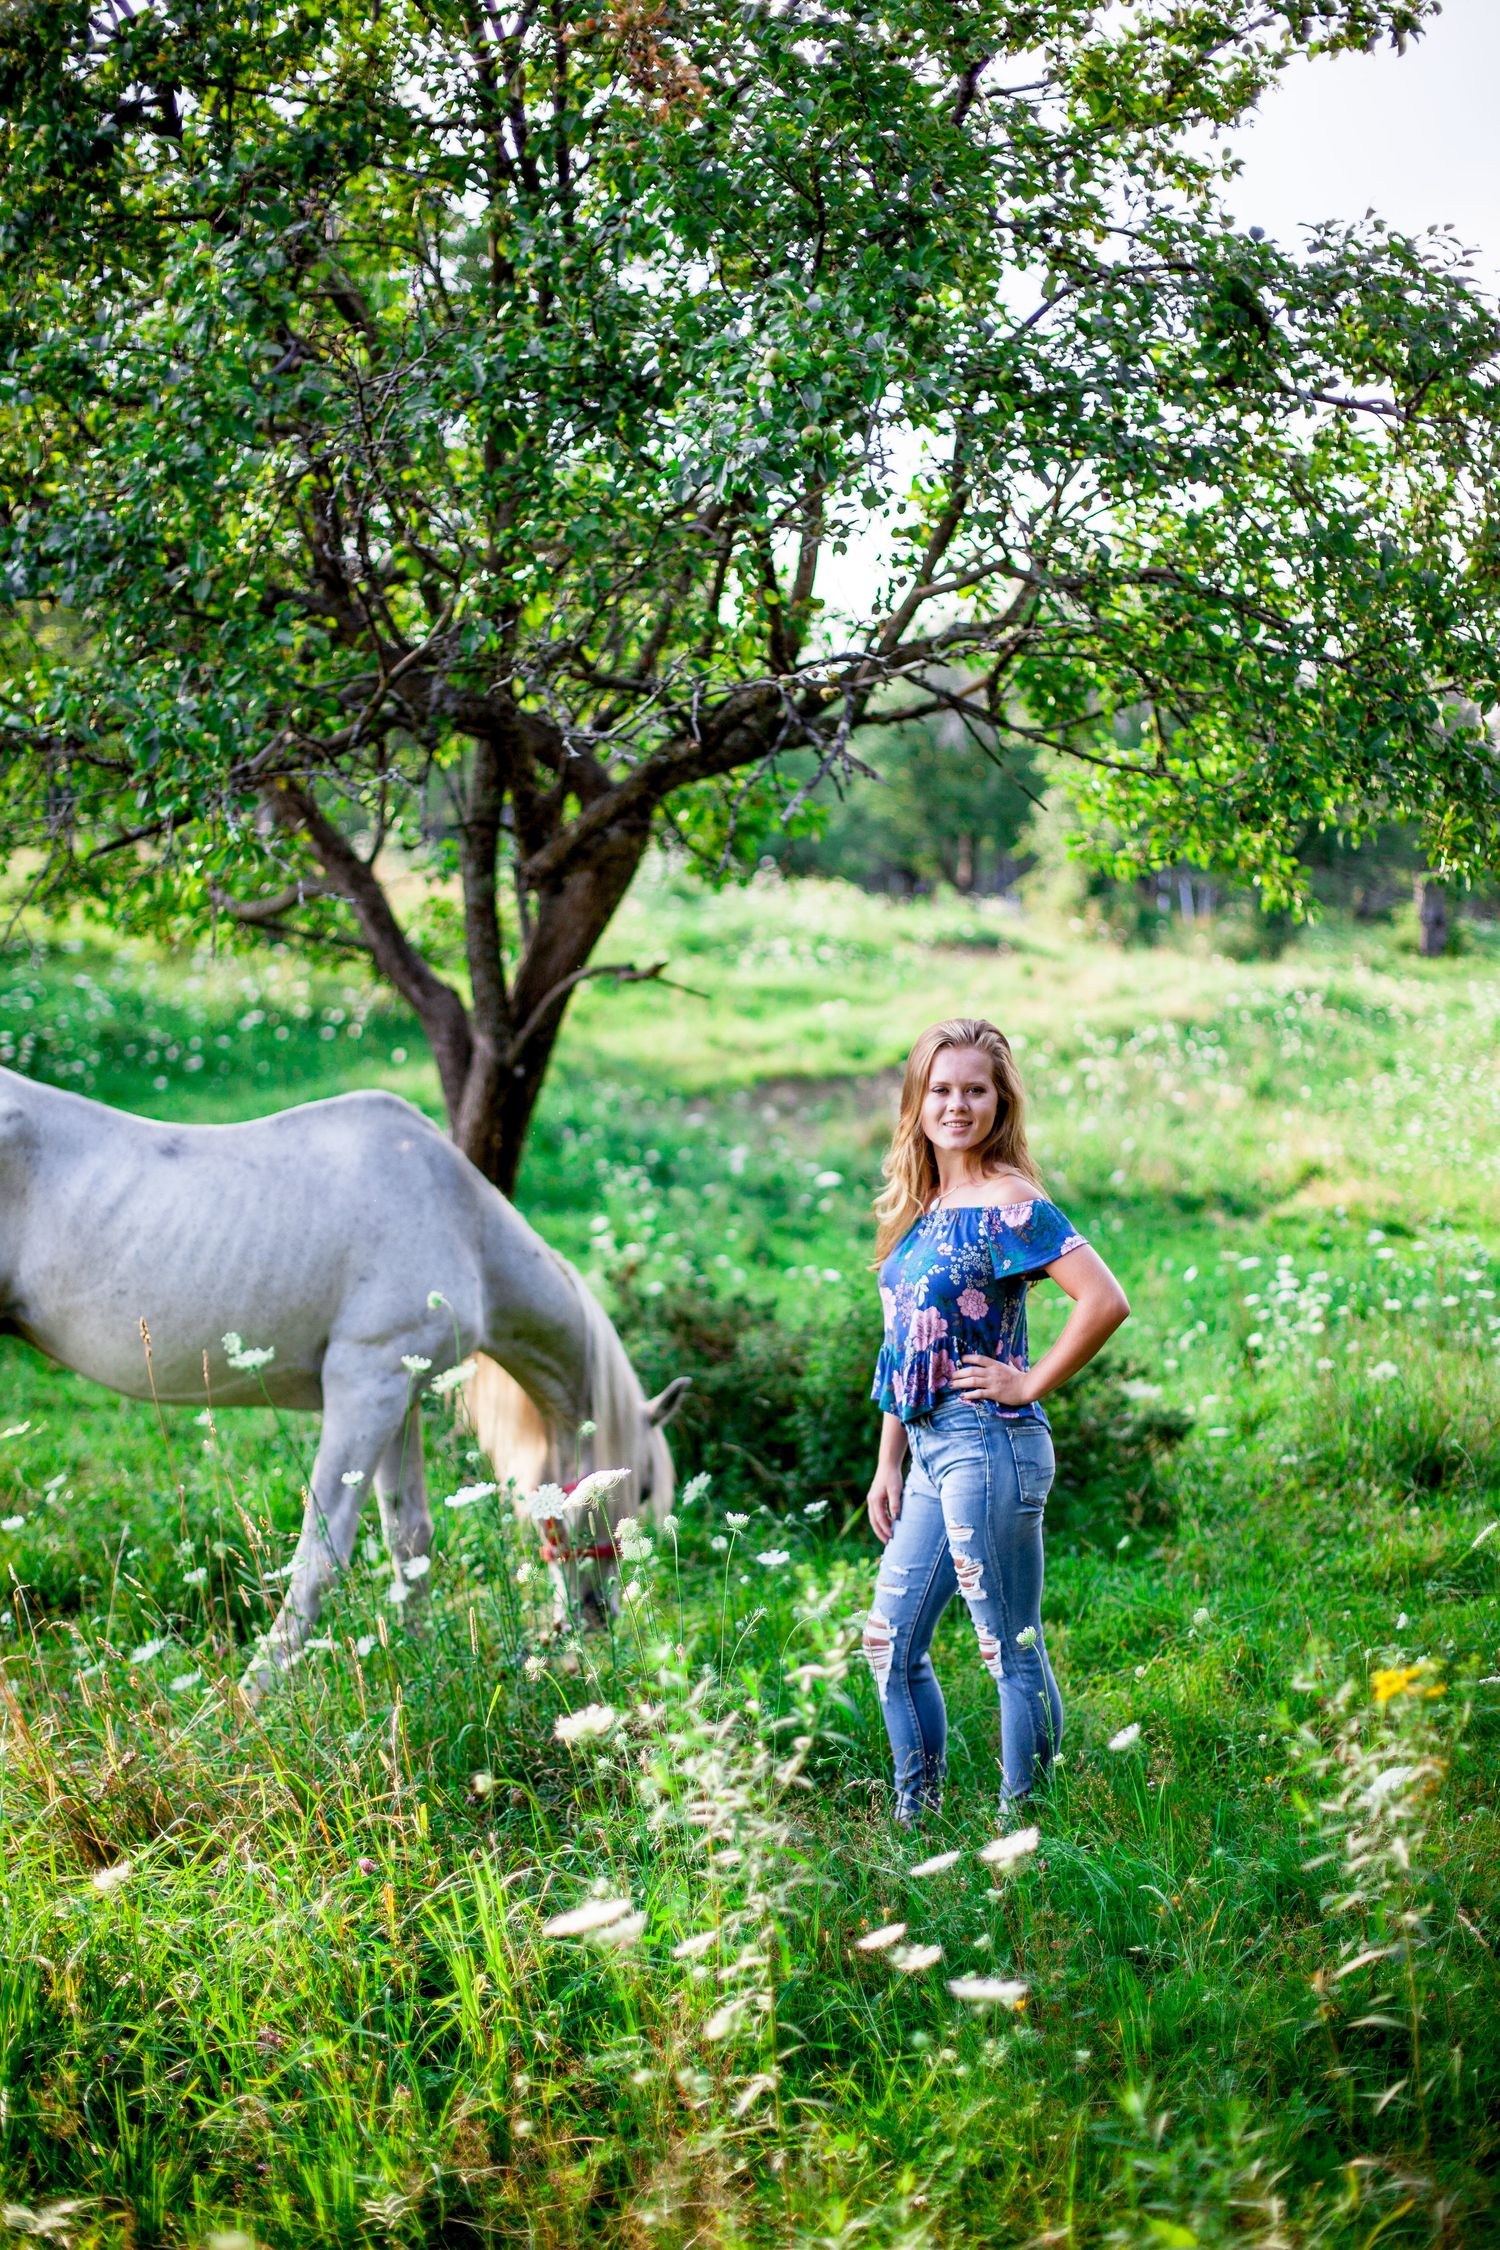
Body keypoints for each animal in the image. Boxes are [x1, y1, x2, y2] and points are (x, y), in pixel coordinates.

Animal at [0, 1066, 687, 1695]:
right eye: (643, 1487)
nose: (599, 1617)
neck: (462, 1222)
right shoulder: (365, 1390)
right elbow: (322, 1553)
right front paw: (257, 1694)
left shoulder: (399, 1399)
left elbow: (410, 1537)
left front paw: (421, 1661)